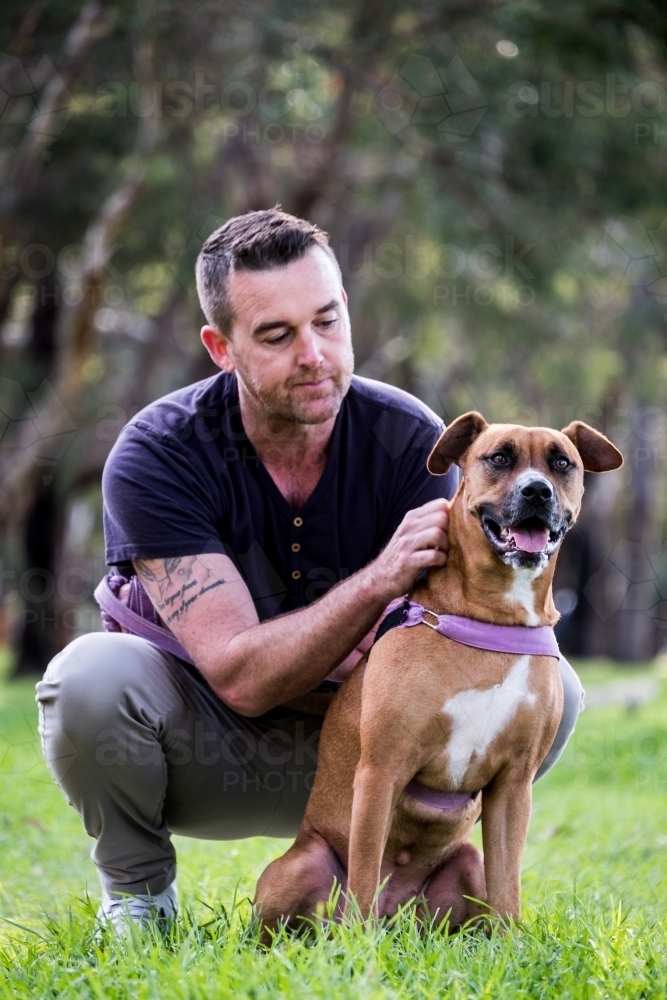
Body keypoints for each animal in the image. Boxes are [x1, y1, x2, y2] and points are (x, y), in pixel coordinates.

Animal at [253, 410, 624, 932]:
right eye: (499, 458)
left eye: (561, 463)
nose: (537, 491)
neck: (492, 617)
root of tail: (399, 916)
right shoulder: (380, 771)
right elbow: (364, 875)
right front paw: (360, 946)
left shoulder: (512, 787)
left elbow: (508, 888)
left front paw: (512, 946)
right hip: (300, 866)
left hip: (466, 864)